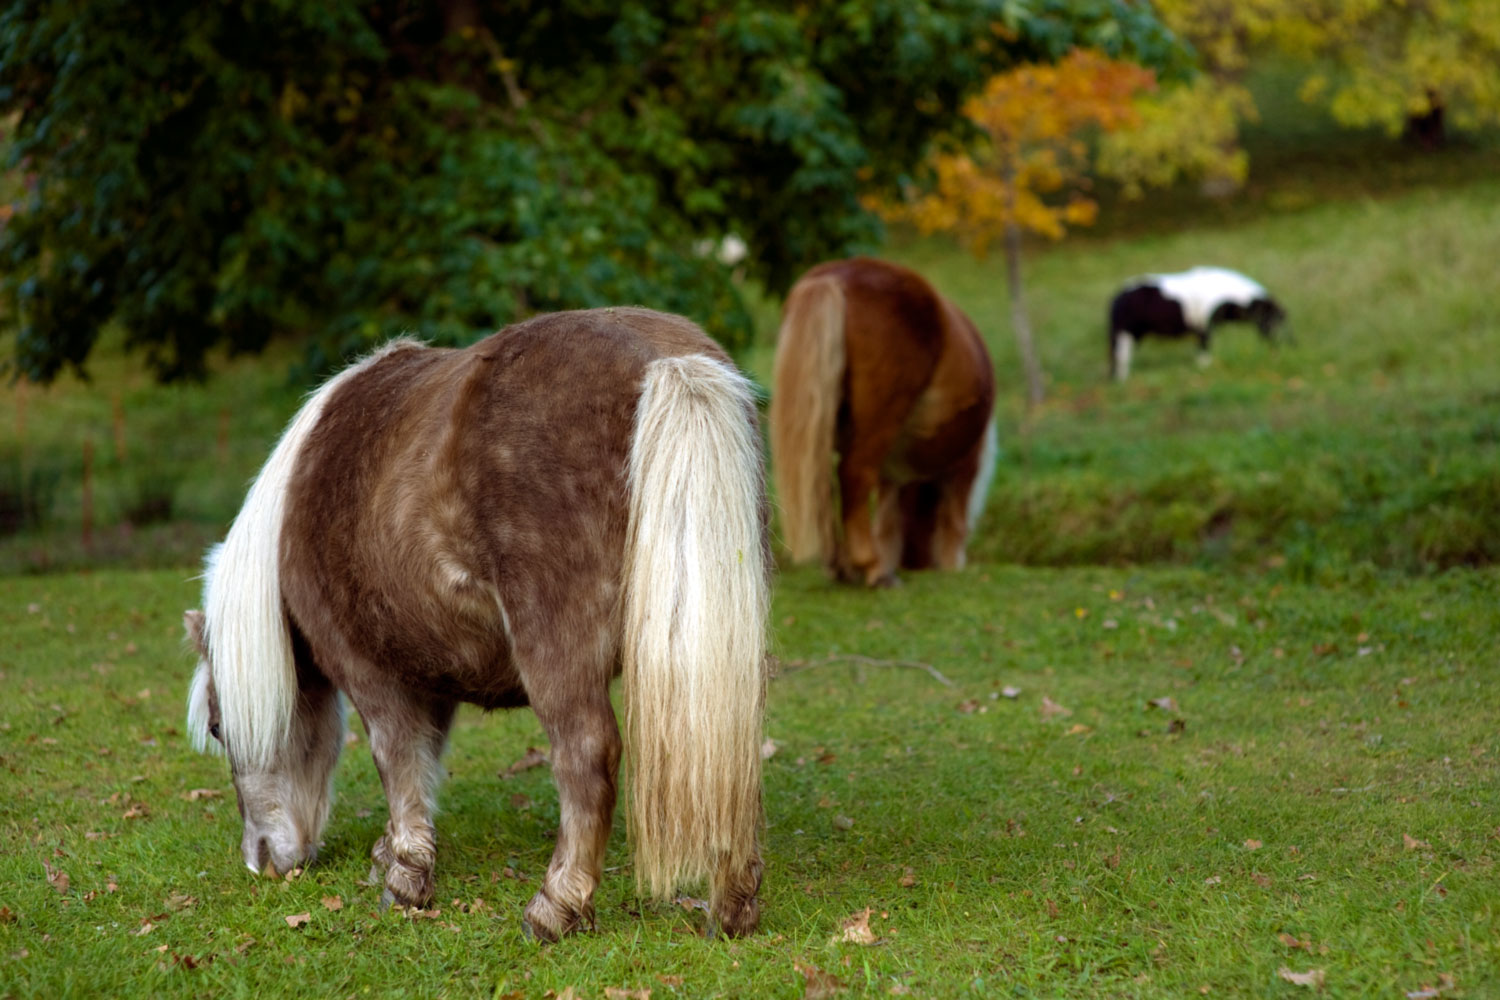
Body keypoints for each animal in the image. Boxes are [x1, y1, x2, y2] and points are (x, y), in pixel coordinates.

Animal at [186, 308, 768, 941]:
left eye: (218, 727)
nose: (262, 861)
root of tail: (666, 362)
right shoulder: (428, 670)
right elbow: (422, 762)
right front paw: (391, 855)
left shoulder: (367, 669)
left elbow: (395, 757)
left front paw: (406, 879)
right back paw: (732, 906)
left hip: (555, 650)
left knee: (585, 755)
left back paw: (555, 907)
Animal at [774, 256, 996, 587]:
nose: (918, 564)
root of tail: (833, 278)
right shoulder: (965, 460)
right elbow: (953, 513)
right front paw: (951, 562)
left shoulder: (892, 472)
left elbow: (888, 517)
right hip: (878, 427)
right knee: (854, 475)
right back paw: (874, 569)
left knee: (821, 486)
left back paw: (841, 567)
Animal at [1110, 265, 1284, 379]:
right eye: (1273, 319)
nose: (1274, 346)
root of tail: (1118, 295)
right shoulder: (1204, 326)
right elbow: (1204, 349)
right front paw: (1204, 367)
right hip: (1123, 333)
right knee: (1120, 358)